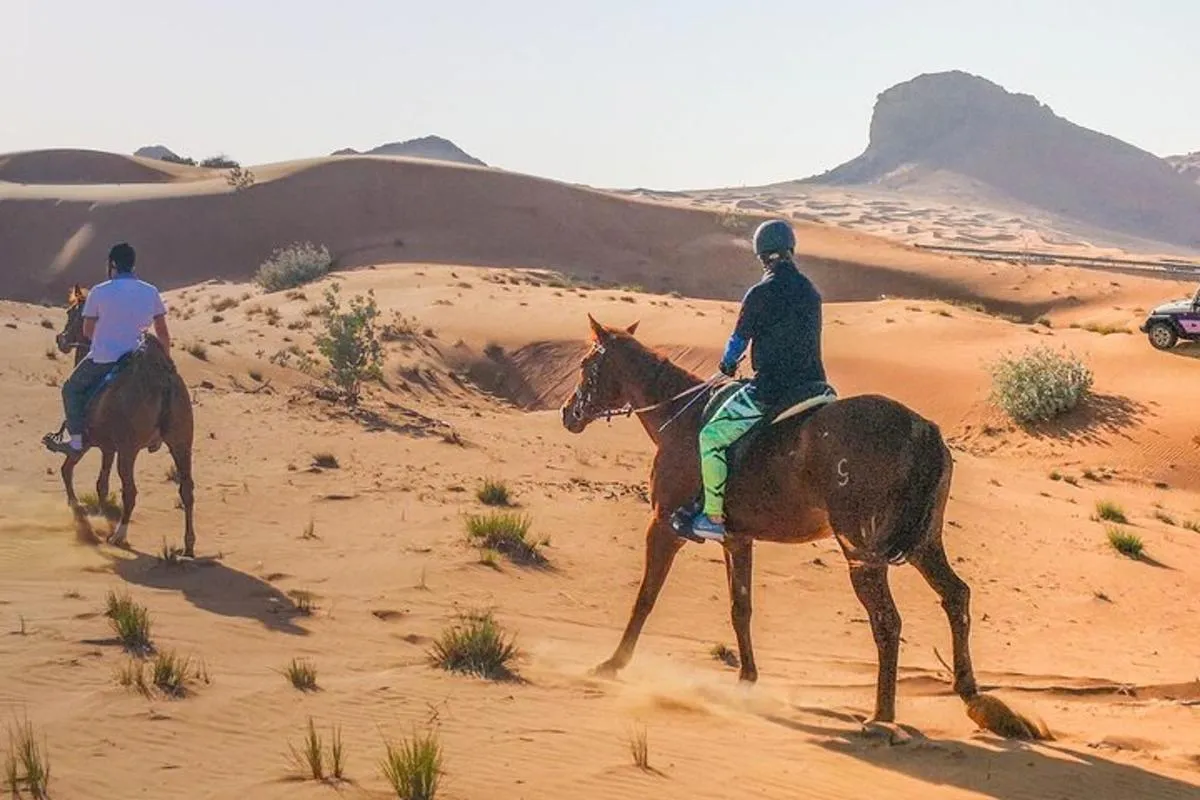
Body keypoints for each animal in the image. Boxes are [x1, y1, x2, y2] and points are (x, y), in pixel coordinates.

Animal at [49, 285, 198, 557]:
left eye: (71, 312)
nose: (61, 339)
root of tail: (164, 382)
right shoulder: (109, 446)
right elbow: (102, 484)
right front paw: (101, 514)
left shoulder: (88, 442)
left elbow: (68, 470)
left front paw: (78, 511)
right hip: (181, 443)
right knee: (187, 490)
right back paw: (189, 545)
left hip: (130, 450)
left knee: (130, 491)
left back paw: (119, 535)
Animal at [560, 314, 1046, 740]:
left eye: (586, 365)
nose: (568, 413)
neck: (678, 417)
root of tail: (923, 430)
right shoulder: (737, 538)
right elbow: (740, 608)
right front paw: (747, 679)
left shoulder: (664, 525)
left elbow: (645, 598)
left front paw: (612, 664)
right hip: (926, 543)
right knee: (956, 595)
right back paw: (971, 694)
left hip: (861, 552)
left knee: (887, 621)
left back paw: (882, 716)